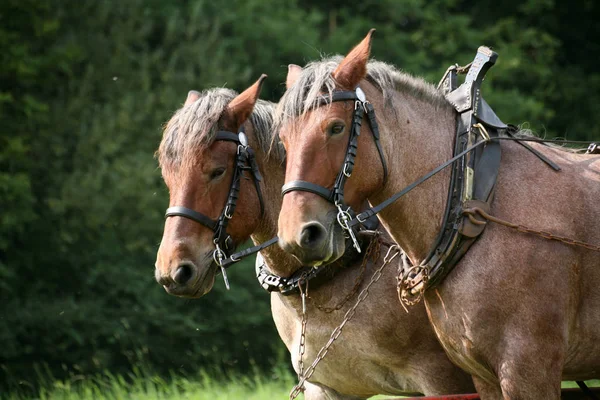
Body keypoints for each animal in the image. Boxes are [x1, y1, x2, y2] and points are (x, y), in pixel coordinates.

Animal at [276, 31, 600, 400]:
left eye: (335, 127)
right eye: (283, 140)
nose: (298, 235)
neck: (472, 199)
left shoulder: (530, 370)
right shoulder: (484, 376)